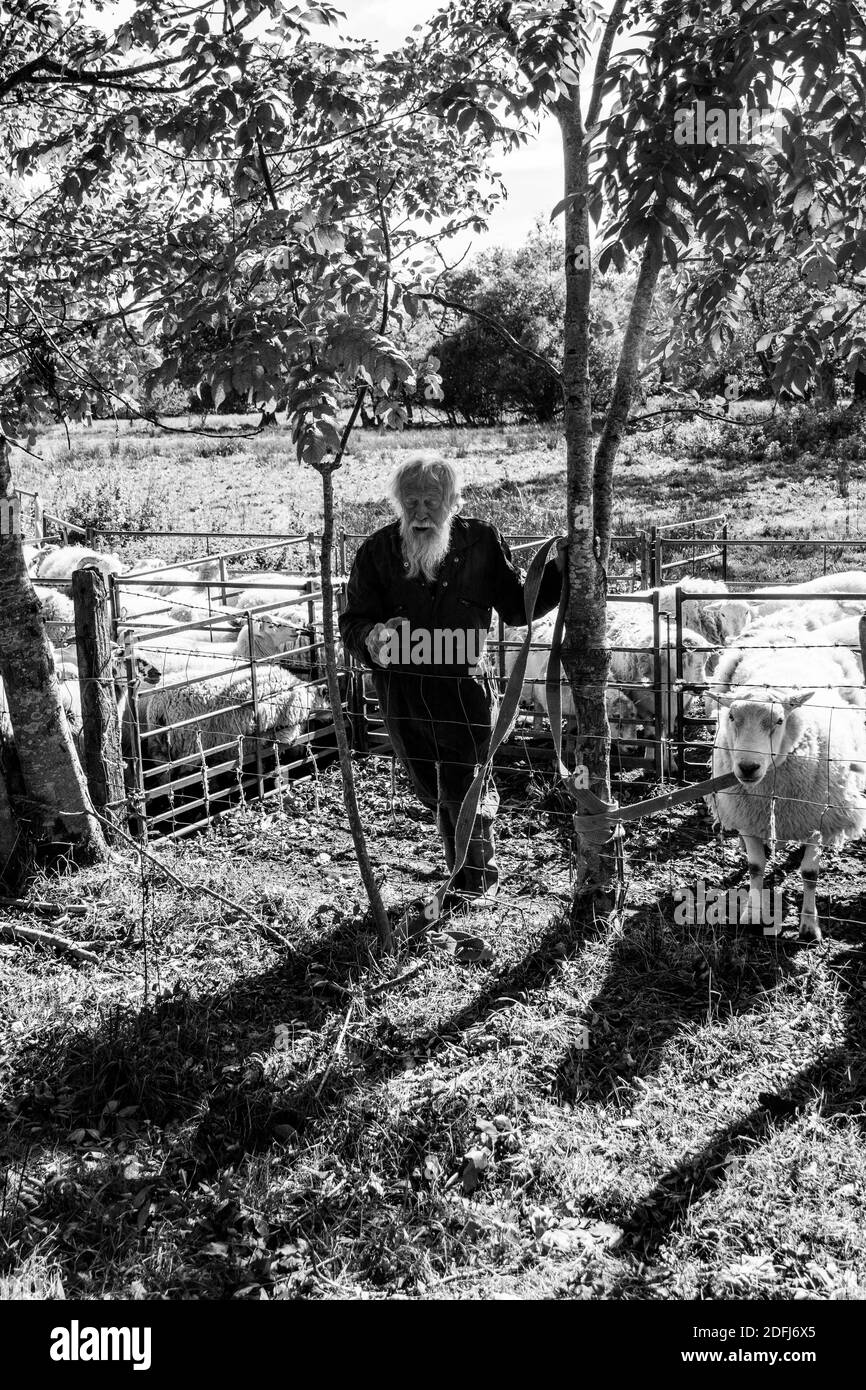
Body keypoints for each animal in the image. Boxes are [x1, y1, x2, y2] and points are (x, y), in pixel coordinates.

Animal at [708, 644, 866, 939]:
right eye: (731, 717)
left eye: (780, 720)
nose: (748, 767)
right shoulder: (748, 815)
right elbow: (756, 867)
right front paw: (752, 914)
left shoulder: (817, 817)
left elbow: (810, 873)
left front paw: (809, 925)